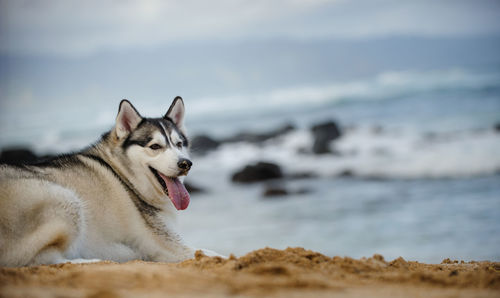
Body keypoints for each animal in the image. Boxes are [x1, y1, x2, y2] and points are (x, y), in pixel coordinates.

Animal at [0, 96, 219, 266]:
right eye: (155, 146)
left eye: (179, 144)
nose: (185, 163)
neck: (126, 176)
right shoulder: (170, 247)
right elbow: (214, 254)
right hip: (66, 199)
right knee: (44, 259)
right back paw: (94, 262)